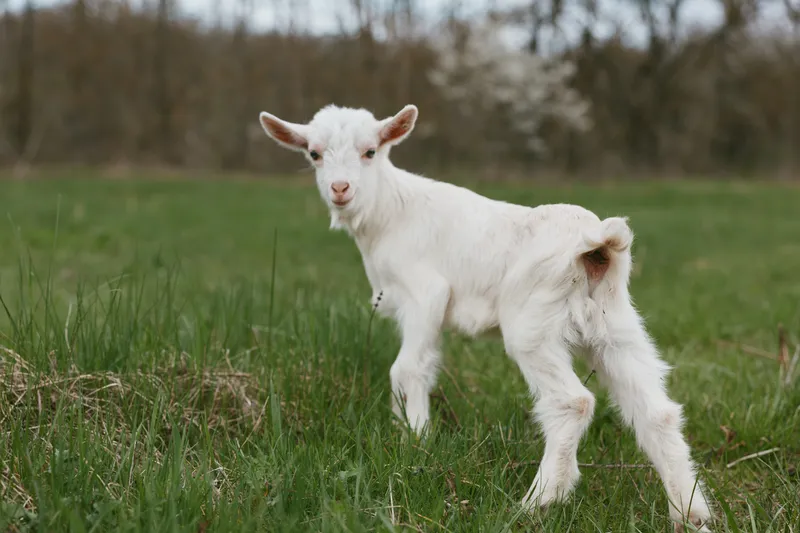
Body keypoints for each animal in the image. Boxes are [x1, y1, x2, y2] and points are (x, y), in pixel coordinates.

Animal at [257, 104, 713, 531]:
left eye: (370, 151)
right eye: (314, 154)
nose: (340, 188)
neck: (391, 211)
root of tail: (597, 245)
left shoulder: (424, 293)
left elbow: (407, 369)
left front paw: (414, 442)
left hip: (533, 325)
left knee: (572, 402)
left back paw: (537, 502)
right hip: (615, 326)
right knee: (657, 411)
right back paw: (690, 513)